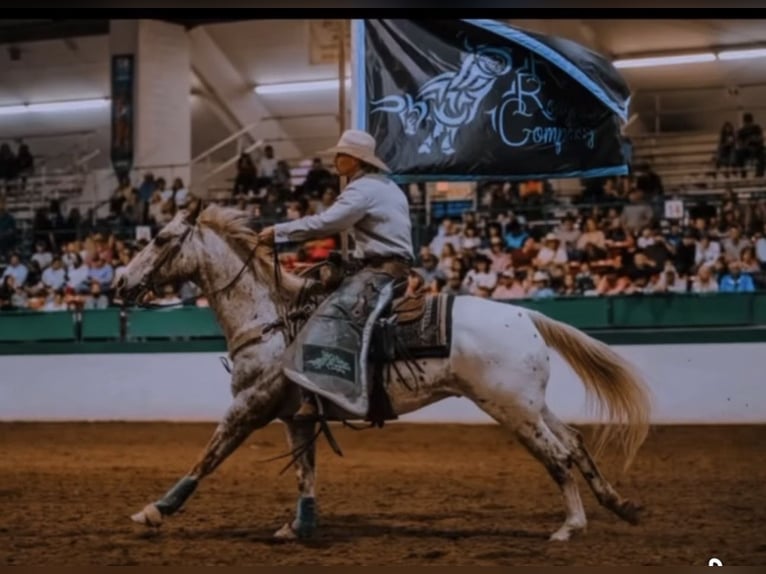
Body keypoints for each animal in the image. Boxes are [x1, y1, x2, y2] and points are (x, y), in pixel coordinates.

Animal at [116, 201, 652, 542]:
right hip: (531, 403)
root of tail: (525, 315)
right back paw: (621, 505)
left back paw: (570, 527)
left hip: (510, 408)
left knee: (557, 455)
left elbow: (208, 456)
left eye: (160, 238)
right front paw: (300, 527)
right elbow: (305, 474)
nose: (120, 282)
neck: (271, 319)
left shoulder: (249, 406)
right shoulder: (297, 416)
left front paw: (154, 511)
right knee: (575, 442)